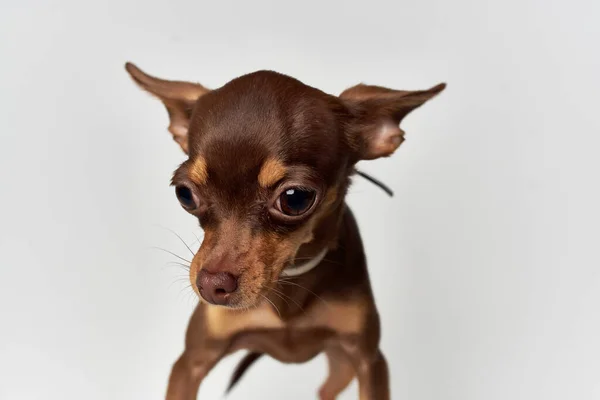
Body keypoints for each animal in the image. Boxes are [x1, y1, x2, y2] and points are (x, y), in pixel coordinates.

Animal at [125, 63, 446, 400]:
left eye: (295, 199)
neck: (289, 280)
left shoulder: (368, 361)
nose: (211, 286)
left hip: (342, 367)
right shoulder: (191, 363)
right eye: (185, 194)